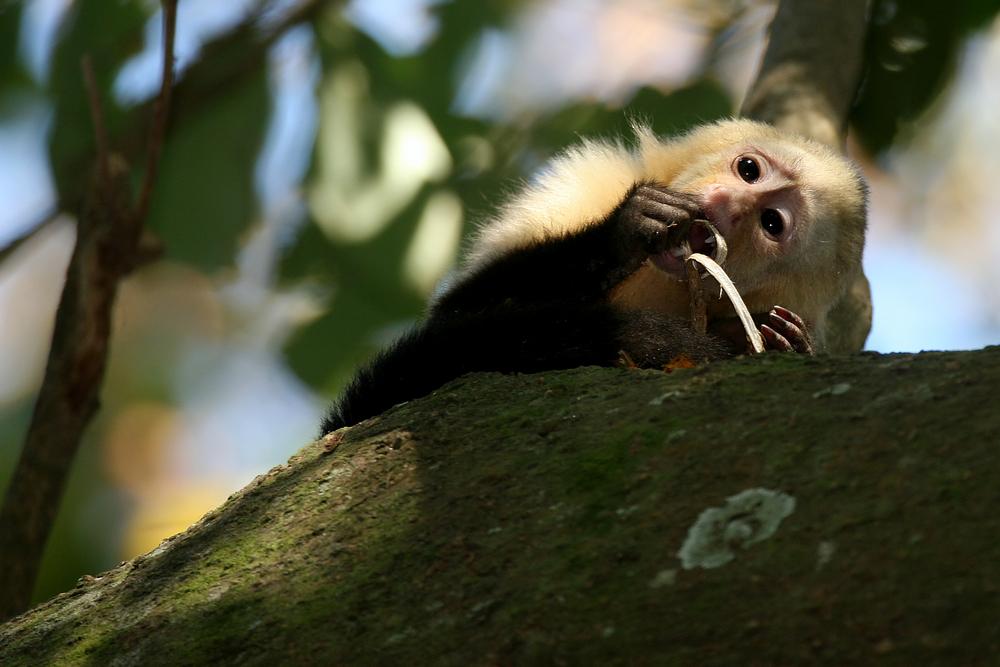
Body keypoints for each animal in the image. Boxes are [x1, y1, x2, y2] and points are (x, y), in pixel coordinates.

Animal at [321, 119, 867, 433]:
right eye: (748, 170)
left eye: (771, 223)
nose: (725, 204)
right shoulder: (583, 182)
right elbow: (454, 319)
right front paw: (626, 230)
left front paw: (784, 342)